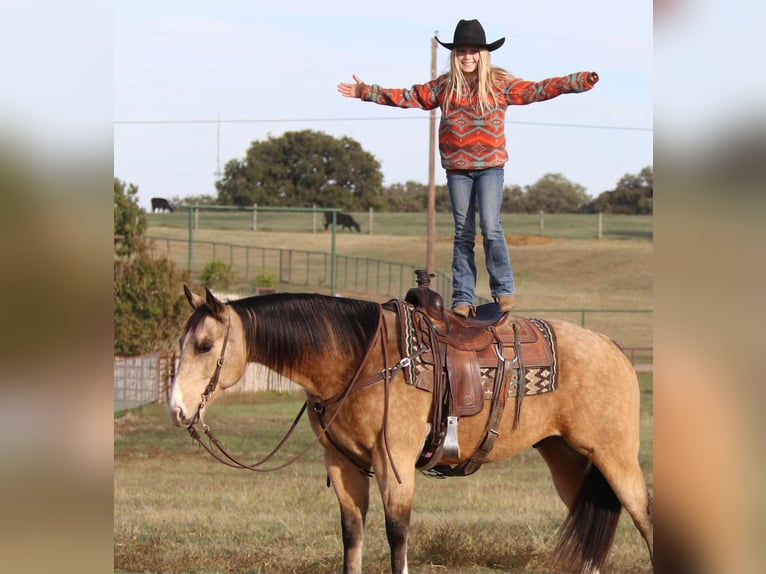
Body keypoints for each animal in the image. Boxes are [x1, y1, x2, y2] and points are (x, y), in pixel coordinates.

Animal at [168, 284, 656, 574]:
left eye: (205, 346)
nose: (177, 408)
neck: (360, 358)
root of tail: (612, 347)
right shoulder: (343, 465)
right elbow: (352, 534)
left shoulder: (395, 462)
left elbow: (397, 535)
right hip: (568, 460)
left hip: (615, 457)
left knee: (645, 516)